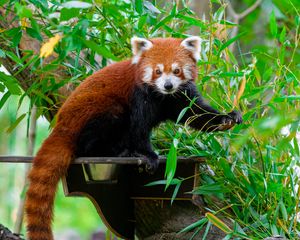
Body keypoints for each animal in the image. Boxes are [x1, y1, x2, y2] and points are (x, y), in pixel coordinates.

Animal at [25, 36, 241, 240]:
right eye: (157, 71)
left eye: (177, 70)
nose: (168, 85)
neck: (162, 95)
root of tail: (62, 126)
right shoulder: (139, 95)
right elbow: (139, 128)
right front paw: (148, 155)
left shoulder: (181, 96)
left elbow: (196, 114)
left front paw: (227, 118)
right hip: (97, 113)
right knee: (98, 134)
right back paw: (120, 152)